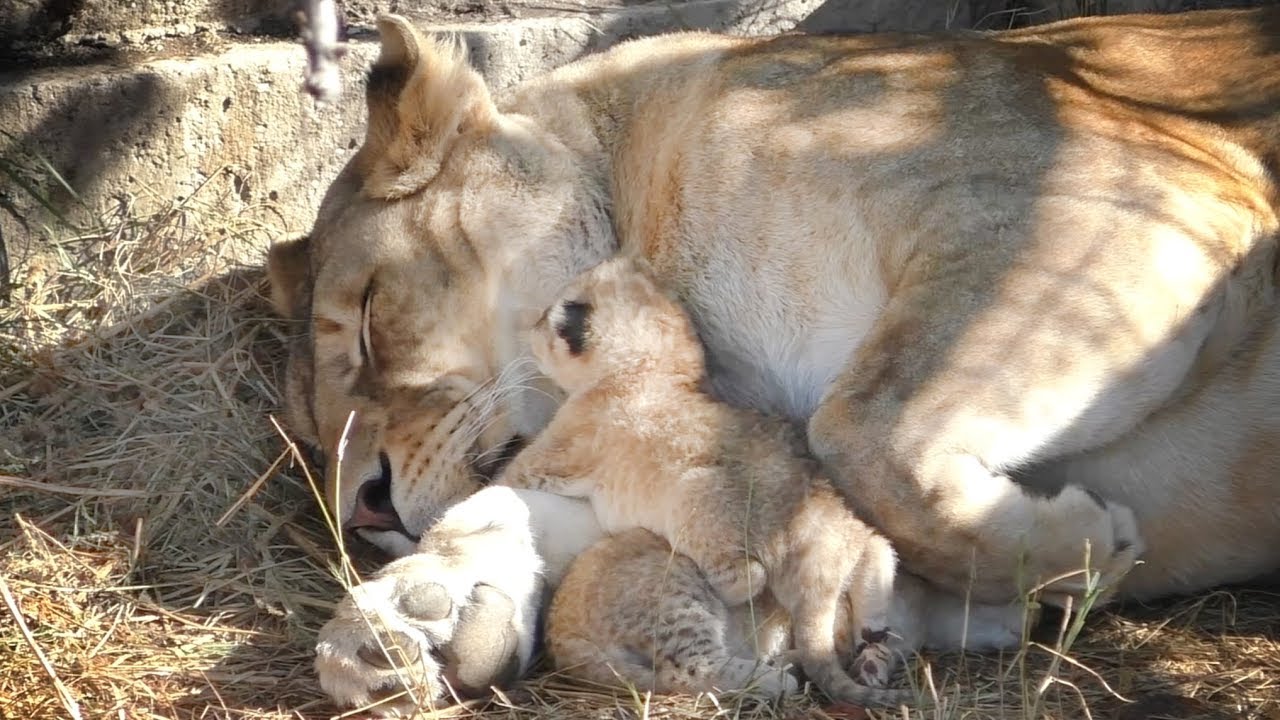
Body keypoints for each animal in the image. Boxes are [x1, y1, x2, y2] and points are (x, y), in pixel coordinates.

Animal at [271, 6, 1280, 712]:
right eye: (312, 436)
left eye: (368, 317)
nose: (366, 510)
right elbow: (507, 510)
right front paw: (413, 615)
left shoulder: (1122, 194)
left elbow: (865, 425)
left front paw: (1088, 546)